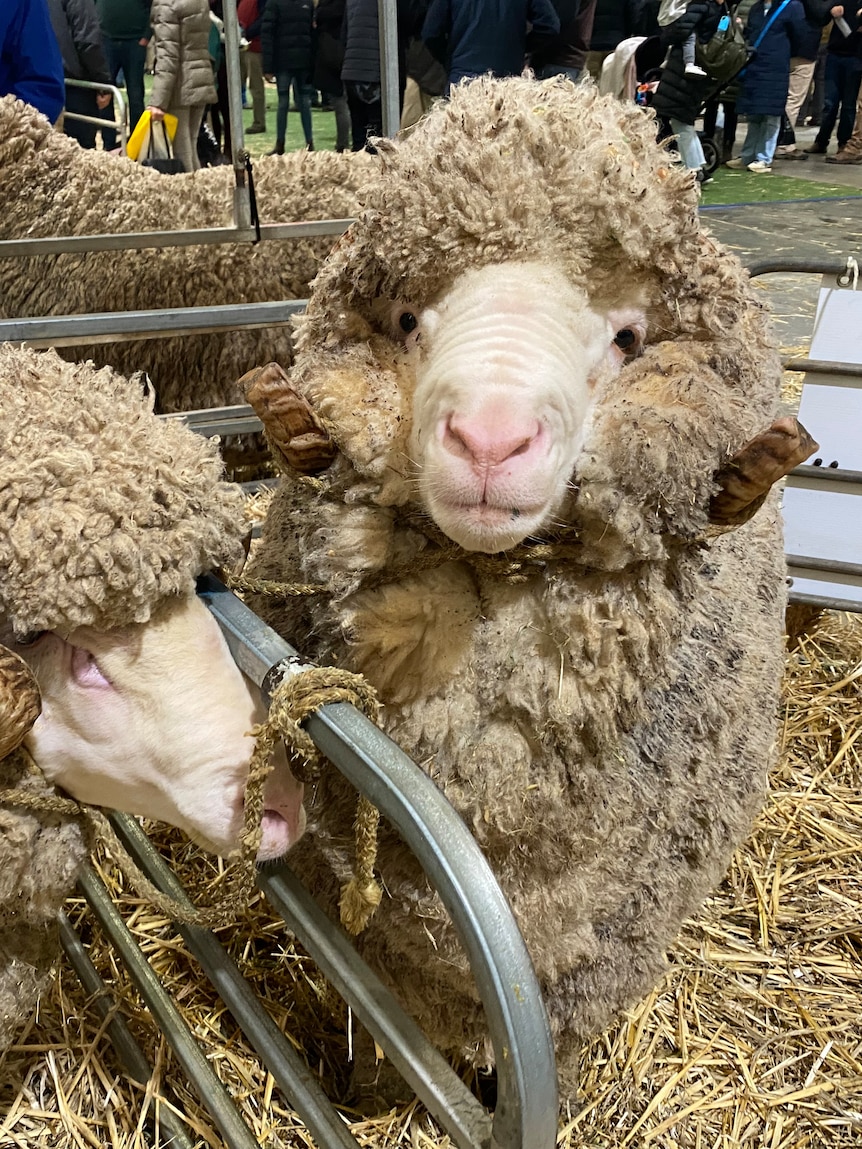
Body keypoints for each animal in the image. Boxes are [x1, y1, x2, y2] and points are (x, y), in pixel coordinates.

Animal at [241, 76, 818, 1098]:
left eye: (628, 337)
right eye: (408, 320)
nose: (489, 440)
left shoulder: (595, 963)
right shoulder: (381, 957)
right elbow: (390, 1048)